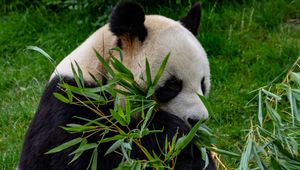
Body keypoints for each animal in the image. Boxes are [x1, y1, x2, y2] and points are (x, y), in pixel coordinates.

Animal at [18, 1, 214, 170]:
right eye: (173, 86)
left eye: (203, 84)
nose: (198, 120)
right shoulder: (70, 103)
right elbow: (82, 156)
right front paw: (170, 130)